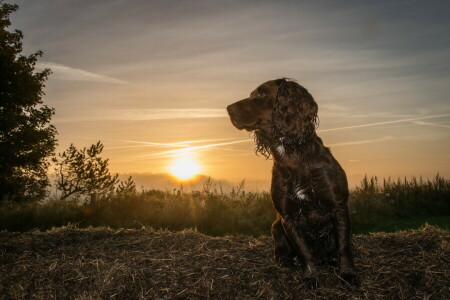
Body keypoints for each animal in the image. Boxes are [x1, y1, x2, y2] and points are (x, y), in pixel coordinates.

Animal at [227, 78, 360, 284]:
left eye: (261, 93)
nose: (228, 108)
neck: (291, 153)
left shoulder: (339, 205)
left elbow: (344, 246)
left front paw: (347, 273)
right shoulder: (287, 215)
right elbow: (303, 250)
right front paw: (310, 275)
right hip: (276, 228)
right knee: (282, 252)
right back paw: (286, 261)